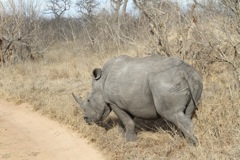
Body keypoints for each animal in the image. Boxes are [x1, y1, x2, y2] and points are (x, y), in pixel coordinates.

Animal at [72, 54, 202, 145]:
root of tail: (184, 70)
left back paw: (192, 144)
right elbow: (126, 120)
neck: (101, 82)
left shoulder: (114, 102)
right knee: (187, 112)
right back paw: (185, 139)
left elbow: (128, 121)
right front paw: (123, 135)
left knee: (170, 113)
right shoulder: (126, 102)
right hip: (195, 78)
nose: (85, 119)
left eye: (88, 100)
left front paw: (130, 141)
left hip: (166, 82)